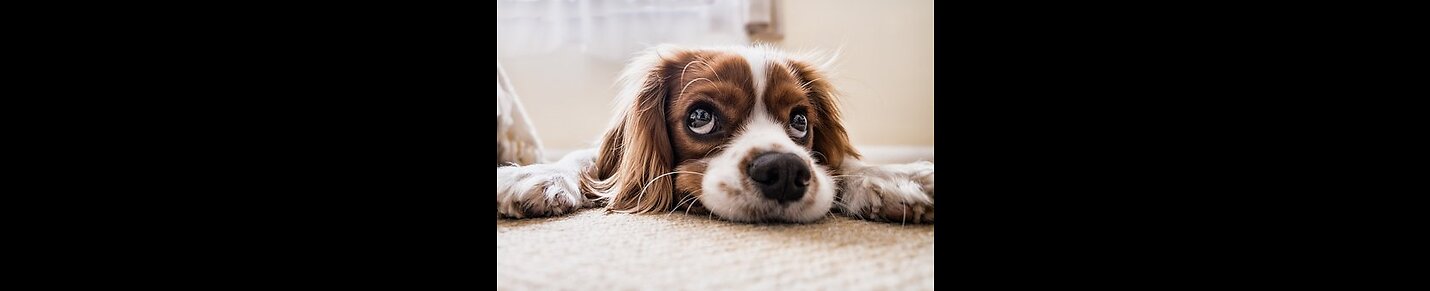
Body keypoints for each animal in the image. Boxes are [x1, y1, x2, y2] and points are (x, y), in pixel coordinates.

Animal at [497, 44, 932, 222]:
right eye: (701, 117)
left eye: (800, 121)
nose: (785, 171)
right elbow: (584, 160)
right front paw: (535, 175)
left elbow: (841, 165)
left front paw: (892, 177)